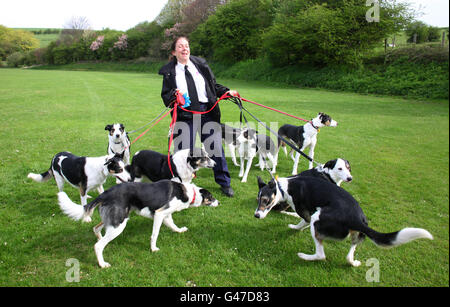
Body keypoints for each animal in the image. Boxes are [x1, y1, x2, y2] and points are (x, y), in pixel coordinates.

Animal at [57, 180, 219, 270]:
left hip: (114, 219)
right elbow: (154, 234)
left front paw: (180, 231)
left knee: (96, 228)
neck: (188, 193)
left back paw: (101, 239)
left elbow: (173, 225)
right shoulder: (159, 214)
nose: (219, 202)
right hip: (119, 224)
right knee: (98, 246)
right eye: (211, 197)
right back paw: (102, 264)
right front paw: (153, 249)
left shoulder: (166, 216)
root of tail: (105, 193)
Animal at [253, 177, 432, 268]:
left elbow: (301, 222)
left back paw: (304, 256)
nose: (256, 215)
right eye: (258, 199)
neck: (284, 187)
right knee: (349, 255)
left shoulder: (306, 214)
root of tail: (356, 218)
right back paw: (354, 262)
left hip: (318, 218)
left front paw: (294, 227)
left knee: (321, 255)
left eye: (266, 200)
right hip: (357, 234)